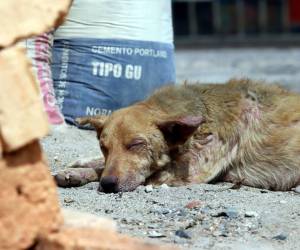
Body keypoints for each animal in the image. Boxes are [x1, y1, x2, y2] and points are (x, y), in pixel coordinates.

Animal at [55, 79, 300, 192]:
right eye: (104, 148)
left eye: (136, 144)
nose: (107, 185)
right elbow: (100, 165)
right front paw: (77, 168)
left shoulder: (188, 173)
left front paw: (81, 172)